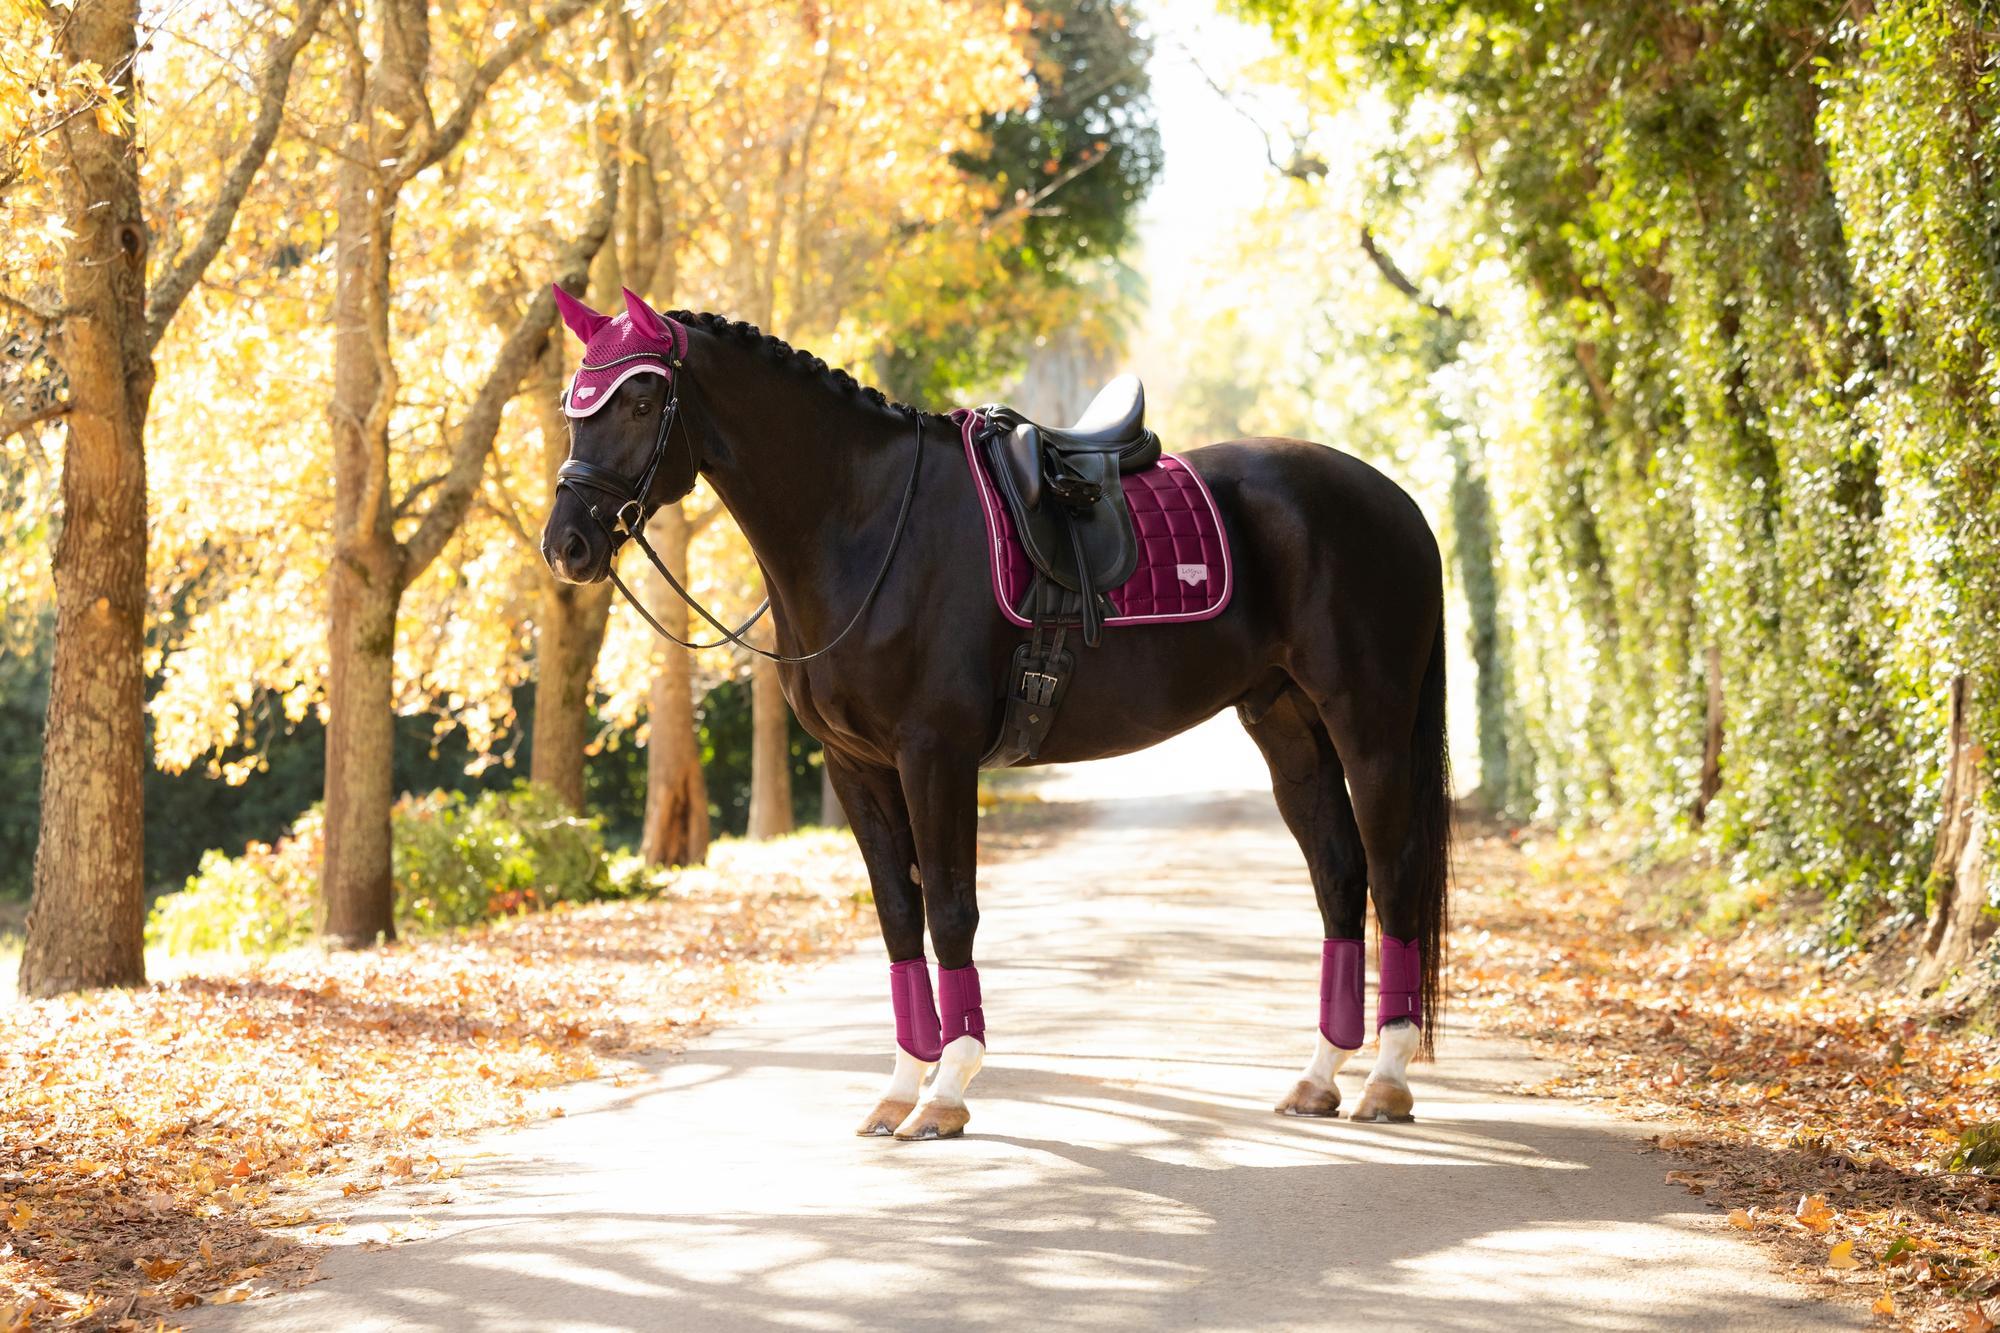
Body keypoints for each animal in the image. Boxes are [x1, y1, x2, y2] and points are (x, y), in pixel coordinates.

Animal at [539, 287, 1451, 1140]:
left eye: (641, 400)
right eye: (573, 405)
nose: (566, 545)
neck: (868, 521)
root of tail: (1397, 501)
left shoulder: (933, 755)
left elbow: (949, 909)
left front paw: (946, 1091)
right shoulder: (856, 765)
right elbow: (899, 917)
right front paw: (899, 1088)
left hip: (1368, 725)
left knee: (1394, 872)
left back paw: (1386, 1079)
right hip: (1286, 725)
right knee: (1340, 875)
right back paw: (1320, 1075)